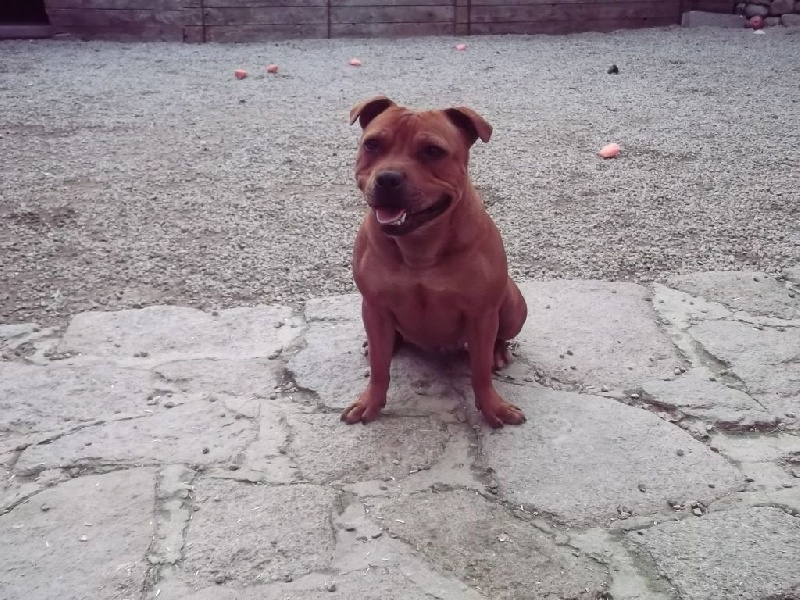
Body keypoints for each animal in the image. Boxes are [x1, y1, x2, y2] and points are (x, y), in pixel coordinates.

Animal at [342, 96, 524, 428]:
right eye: (372, 145)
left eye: (433, 151)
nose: (388, 178)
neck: (419, 244)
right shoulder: (374, 306)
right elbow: (379, 368)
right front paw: (370, 402)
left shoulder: (481, 313)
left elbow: (479, 372)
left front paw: (493, 407)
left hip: (513, 305)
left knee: (499, 337)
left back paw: (498, 352)